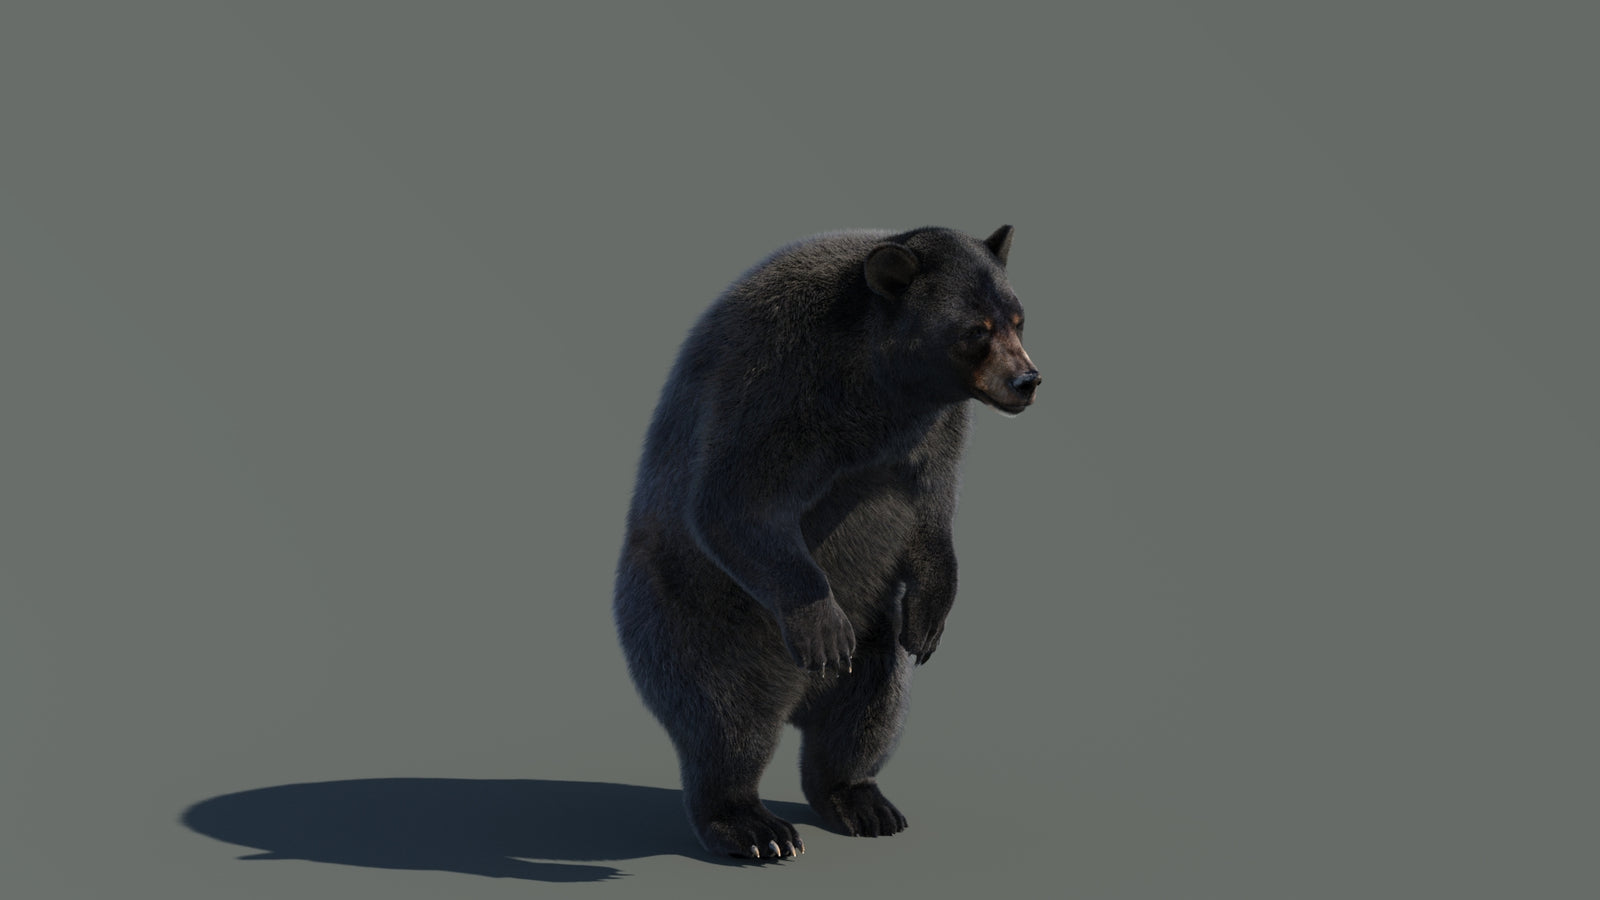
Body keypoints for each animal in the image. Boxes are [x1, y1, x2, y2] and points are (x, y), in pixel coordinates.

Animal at [613, 225, 1040, 860]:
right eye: (975, 330)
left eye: (1018, 319)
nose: (1027, 381)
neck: (882, 386)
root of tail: (798, 700)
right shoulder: (783, 381)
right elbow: (735, 500)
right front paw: (823, 627)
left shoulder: (935, 428)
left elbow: (932, 509)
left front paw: (930, 619)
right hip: (696, 621)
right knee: (725, 722)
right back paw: (753, 826)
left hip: (877, 634)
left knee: (869, 710)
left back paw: (862, 799)